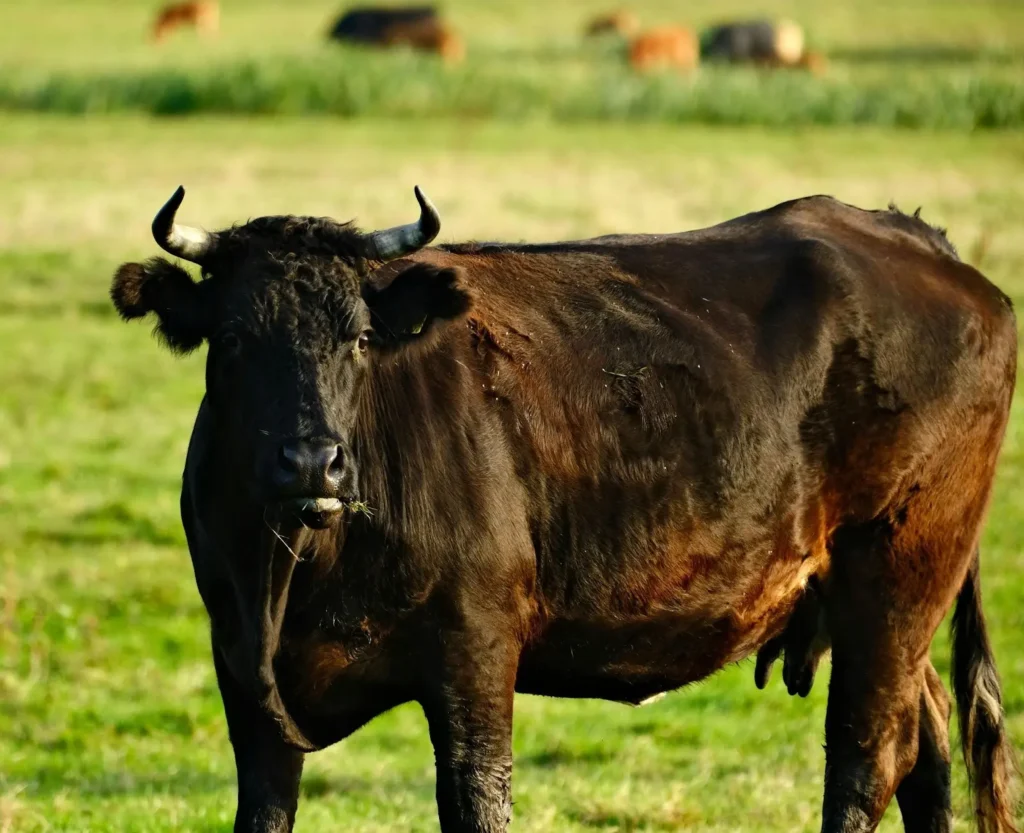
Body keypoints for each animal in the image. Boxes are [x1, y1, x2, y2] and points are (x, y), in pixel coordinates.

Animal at [109, 185, 1019, 833]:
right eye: (231, 339)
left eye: (359, 337)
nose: (312, 461)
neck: (297, 570)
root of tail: (915, 240)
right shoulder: (244, 676)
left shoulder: (476, 653)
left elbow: (477, 803)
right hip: (886, 607)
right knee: (927, 739)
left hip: (898, 579)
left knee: (869, 756)